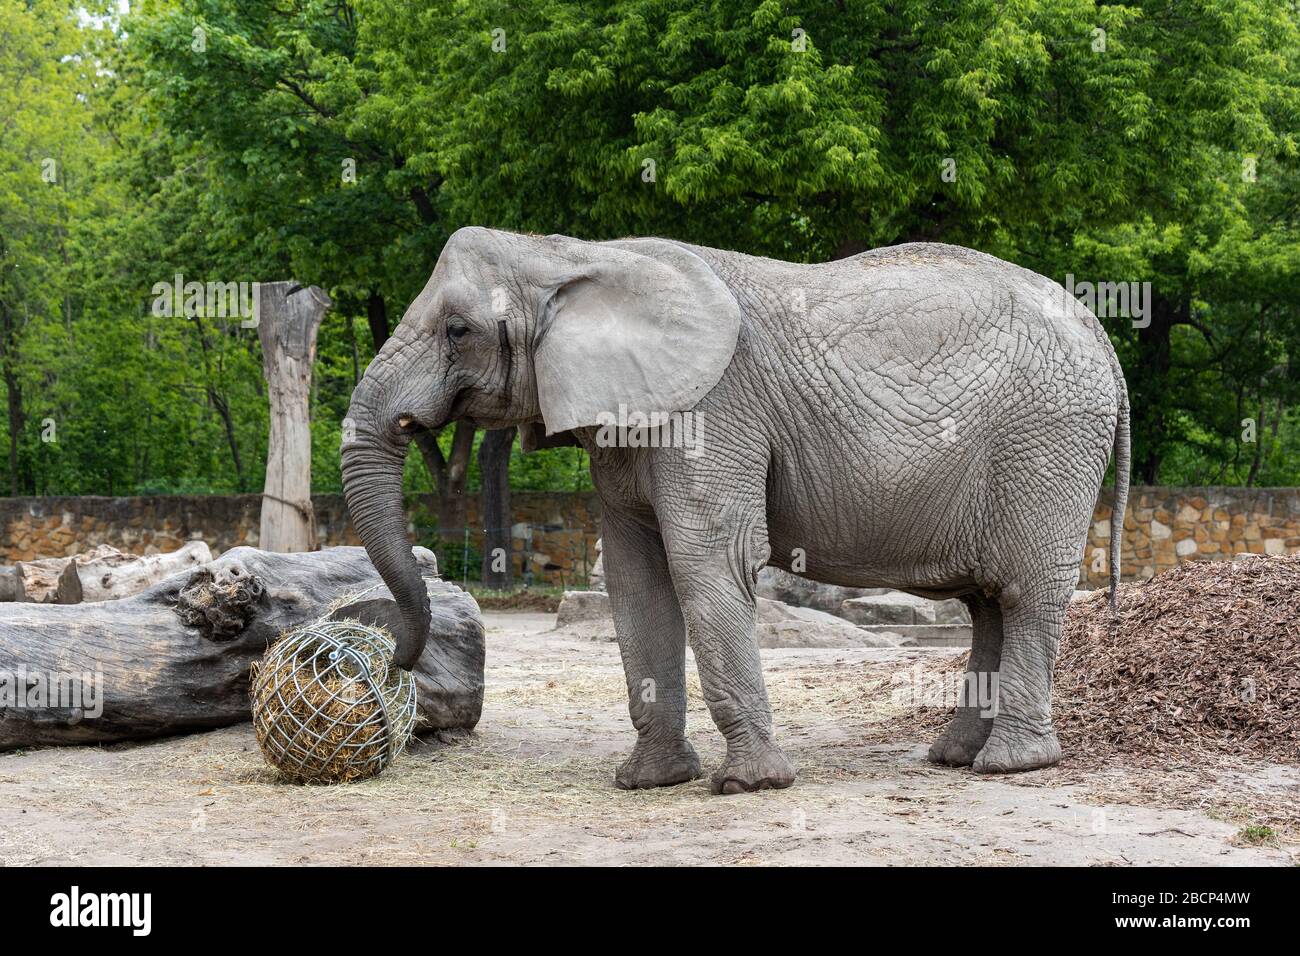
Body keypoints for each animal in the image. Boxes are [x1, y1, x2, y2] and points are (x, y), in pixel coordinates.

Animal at [341, 226, 1130, 795]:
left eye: (457, 331)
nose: (390, 663)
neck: (571, 253)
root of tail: (1100, 332)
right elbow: (635, 578)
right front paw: (649, 784)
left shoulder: (711, 413)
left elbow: (706, 564)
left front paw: (749, 786)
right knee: (985, 600)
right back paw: (955, 757)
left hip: (1048, 444)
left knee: (1022, 592)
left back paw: (1010, 766)